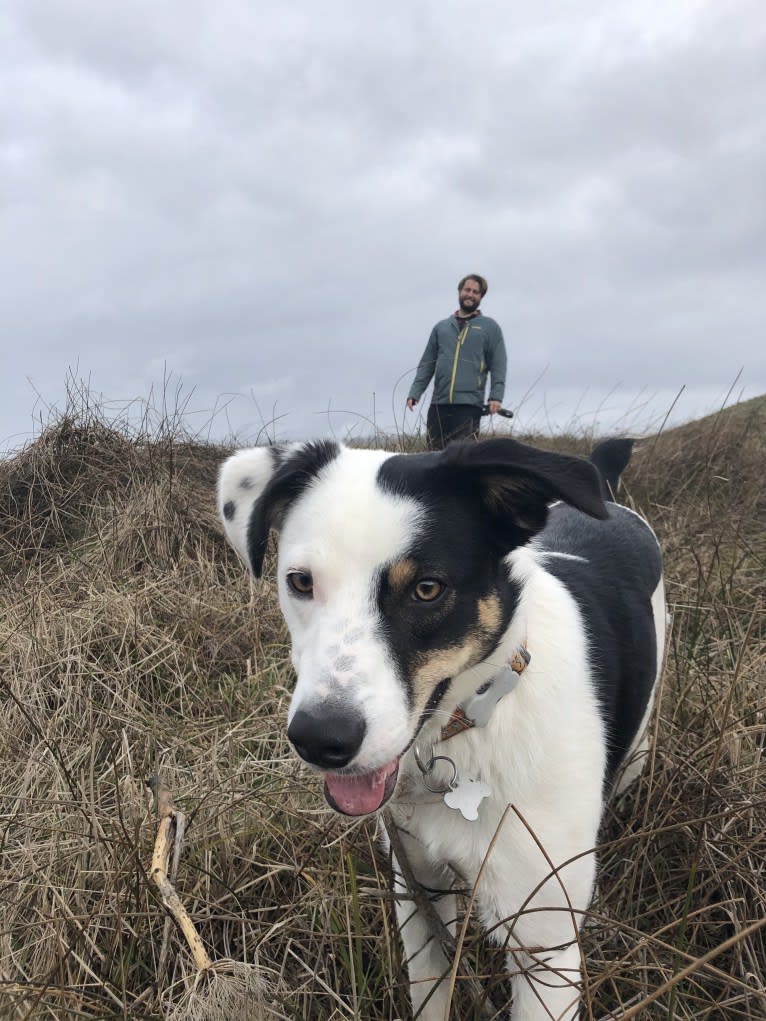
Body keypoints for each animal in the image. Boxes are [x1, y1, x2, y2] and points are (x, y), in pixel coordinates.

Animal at [217, 439, 665, 1021]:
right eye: (300, 582)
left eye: (428, 588)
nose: (320, 740)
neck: (471, 725)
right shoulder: (419, 893)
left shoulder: (546, 949)